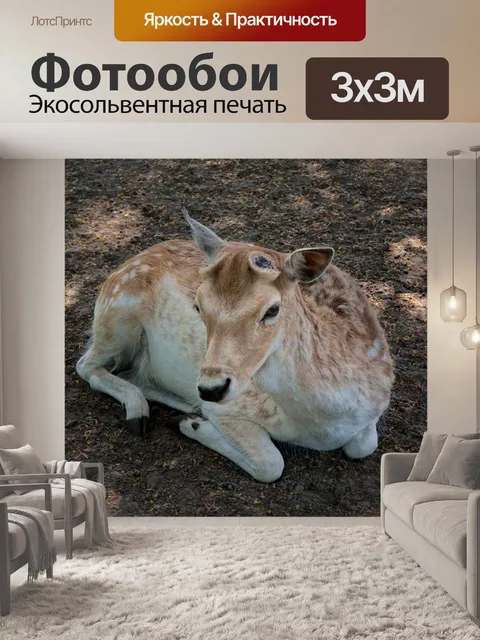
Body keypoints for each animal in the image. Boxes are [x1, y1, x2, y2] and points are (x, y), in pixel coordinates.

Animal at [76, 210, 394, 483]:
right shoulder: (233, 407)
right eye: (198, 305)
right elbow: (271, 464)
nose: (210, 389)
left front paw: (190, 419)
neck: (323, 425)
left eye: (272, 309)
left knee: (130, 373)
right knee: (86, 364)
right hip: (116, 314)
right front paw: (191, 424)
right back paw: (142, 412)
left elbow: (364, 445)